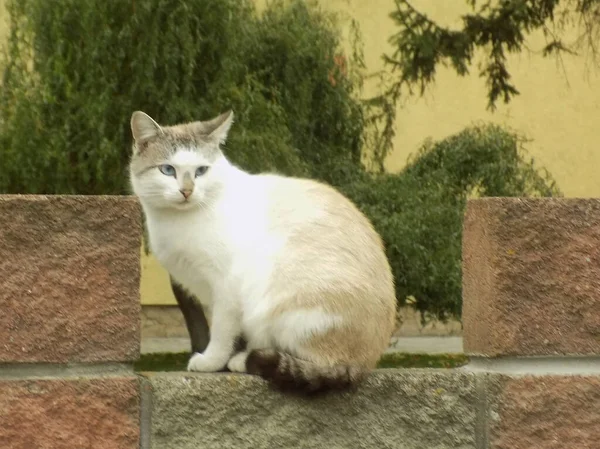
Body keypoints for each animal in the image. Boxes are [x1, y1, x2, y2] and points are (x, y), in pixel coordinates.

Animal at [129, 109, 396, 392]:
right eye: (168, 170)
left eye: (201, 171)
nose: (187, 191)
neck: (177, 220)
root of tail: (364, 363)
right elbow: (233, 331)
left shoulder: (226, 286)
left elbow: (221, 331)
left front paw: (212, 362)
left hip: (283, 303)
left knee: (313, 359)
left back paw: (244, 361)